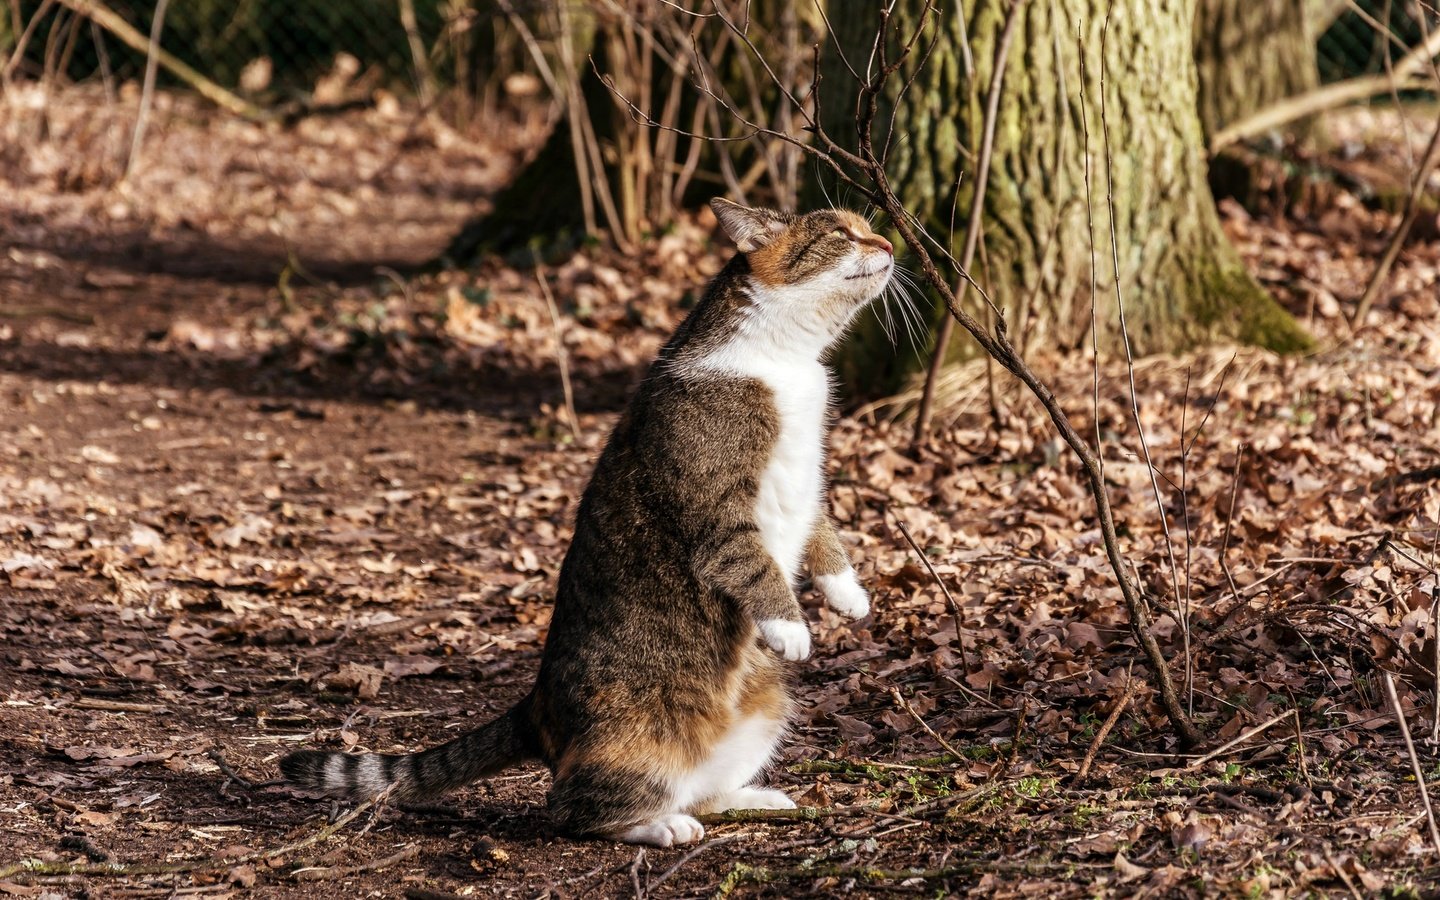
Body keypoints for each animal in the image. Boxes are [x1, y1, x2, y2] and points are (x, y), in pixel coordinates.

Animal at [276, 198, 892, 846]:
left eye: (867, 227)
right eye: (841, 233)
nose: (888, 244)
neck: (789, 362)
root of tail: (535, 705)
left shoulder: (808, 478)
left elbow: (821, 527)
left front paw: (847, 593)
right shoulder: (715, 503)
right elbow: (751, 562)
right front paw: (791, 627)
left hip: (766, 707)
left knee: (700, 787)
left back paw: (746, 797)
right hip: (639, 734)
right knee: (573, 807)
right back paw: (658, 827)